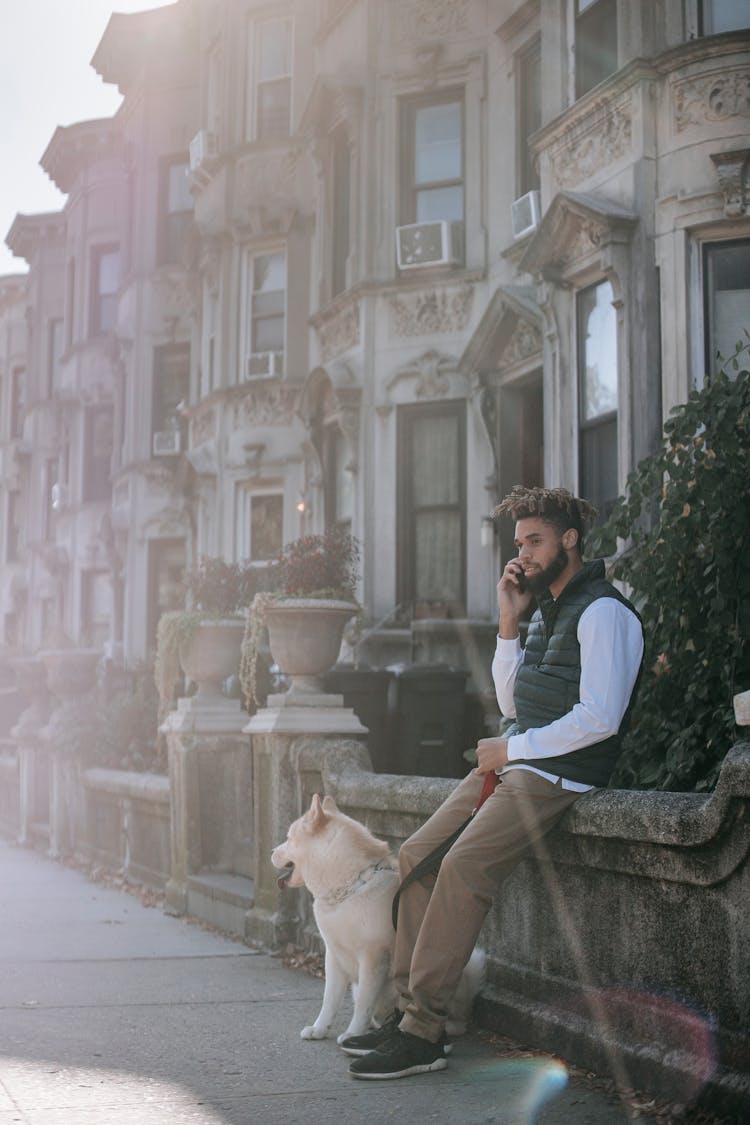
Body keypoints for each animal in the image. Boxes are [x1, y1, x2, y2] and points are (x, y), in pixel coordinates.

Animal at [270, 796, 488, 1039]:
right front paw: (319, 1028)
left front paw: (353, 1034)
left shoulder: (373, 959)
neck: (351, 886)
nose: (271, 850)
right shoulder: (334, 956)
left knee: (457, 1022)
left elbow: (364, 1004)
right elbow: (330, 1001)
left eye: (288, 838)